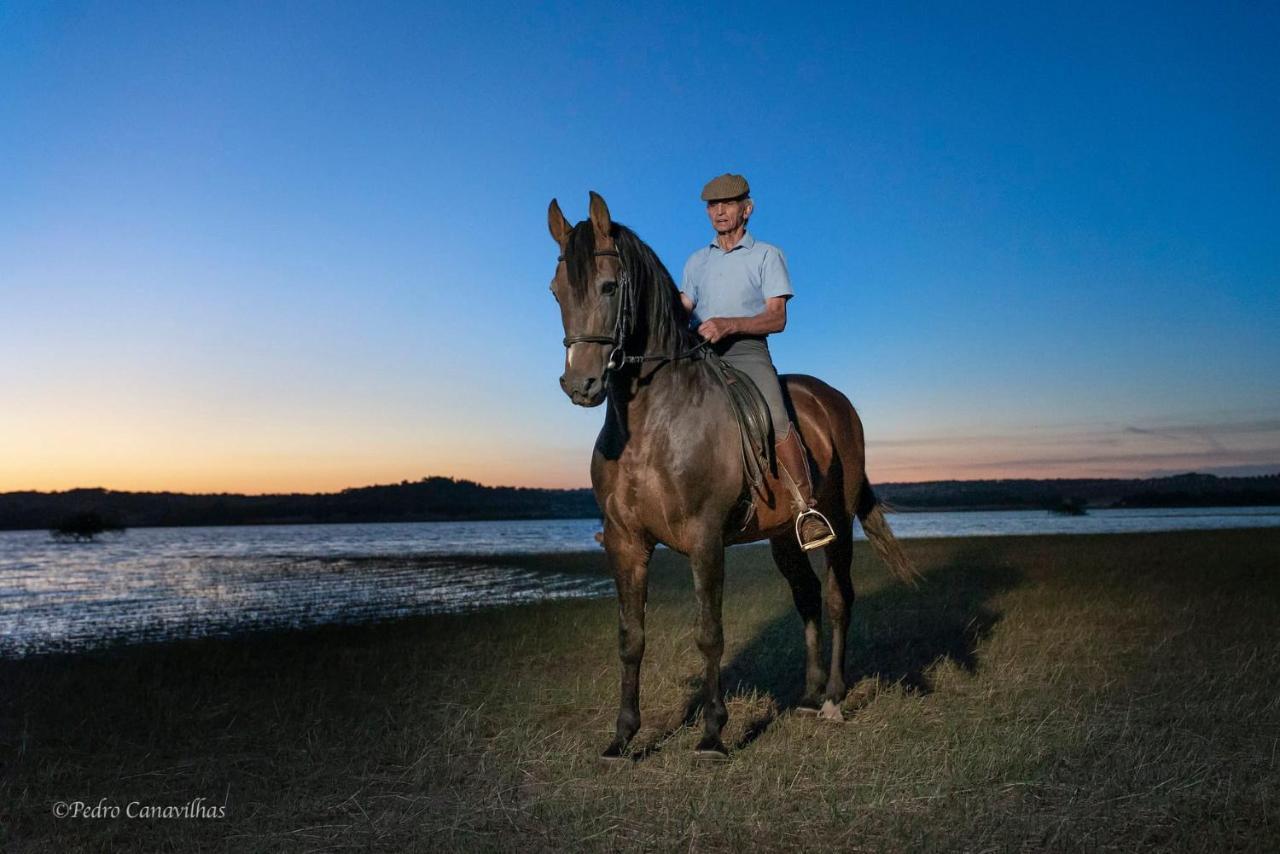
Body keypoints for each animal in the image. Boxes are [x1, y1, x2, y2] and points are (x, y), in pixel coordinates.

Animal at [545, 192, 916, 763]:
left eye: (609, 286)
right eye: (557, 290)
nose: (579, 384)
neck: (653, 422)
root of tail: (834, 400)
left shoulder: (705, 540)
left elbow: (709, 634)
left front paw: (713, 735)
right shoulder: (626, 542)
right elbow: (631, 637)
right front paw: (622, 737)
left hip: (837, 521)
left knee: (837, 598)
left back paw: (833, 699)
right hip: (785, 535)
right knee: (807, 596)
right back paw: (808, 696)